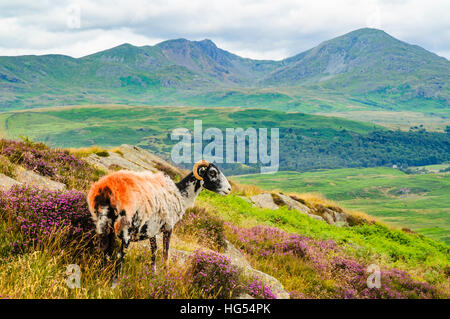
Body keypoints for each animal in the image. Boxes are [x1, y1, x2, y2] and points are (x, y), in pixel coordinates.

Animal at [87, 160, 230, 280]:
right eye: (212, 172)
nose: (229, 189)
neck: (180, 194)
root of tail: (106, 190)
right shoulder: (168, 227)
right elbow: (165, 253)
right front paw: (166, 275)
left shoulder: (152, 230)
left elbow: (154, 251)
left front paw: (153, 273)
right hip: (126, 228)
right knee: (120, 255)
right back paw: (116, 282)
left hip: (104, 226)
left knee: (105, 250)